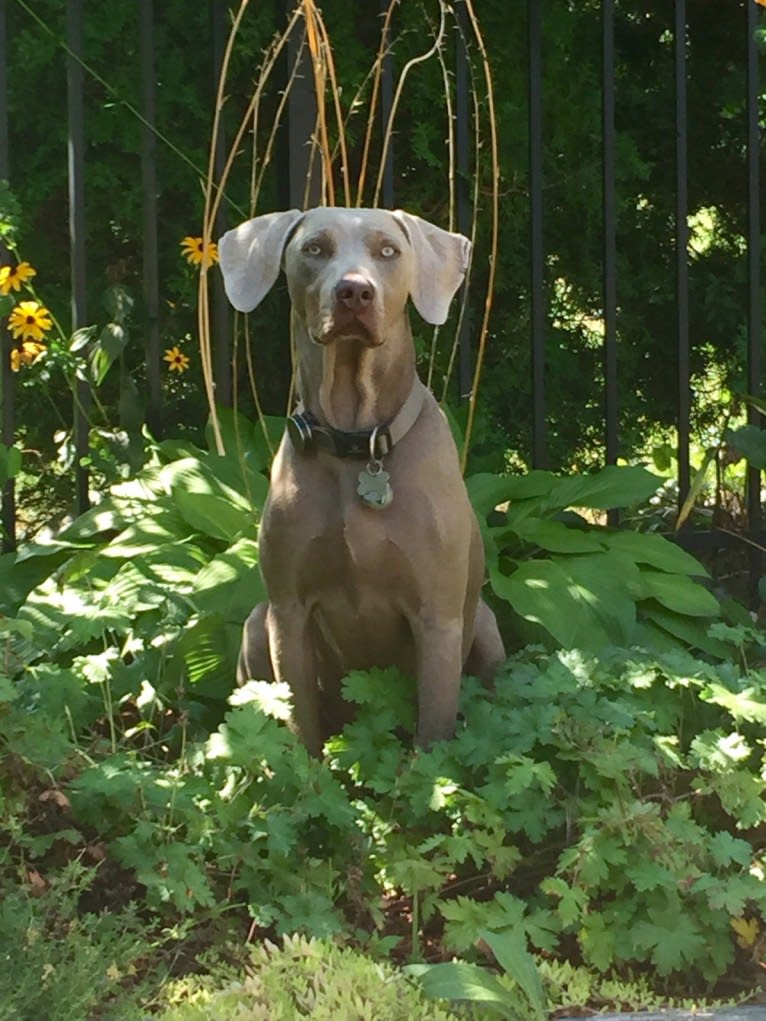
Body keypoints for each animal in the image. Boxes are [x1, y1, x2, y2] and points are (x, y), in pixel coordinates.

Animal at [217, 207, 504, 755]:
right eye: (314, 248)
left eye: (388, 250)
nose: (354, 291)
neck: (356, 443)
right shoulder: (288, 612)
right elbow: (301, 727)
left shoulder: (438, 618)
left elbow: (433, 733)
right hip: (255, 624)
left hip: (484, 625)